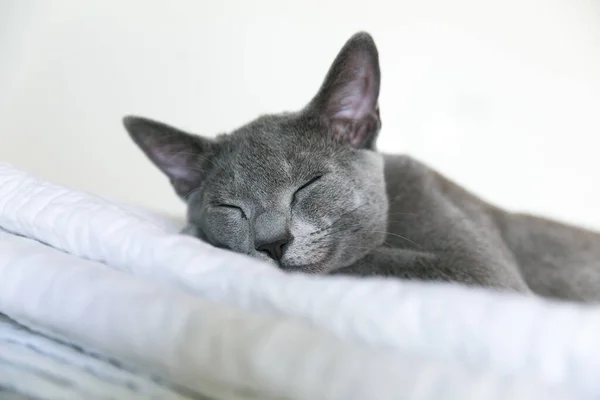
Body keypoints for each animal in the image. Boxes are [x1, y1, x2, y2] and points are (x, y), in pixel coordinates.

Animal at [122, 31, 600, 302]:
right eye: (230, 208)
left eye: (309, 184)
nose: (272, 243)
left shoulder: (484, 274)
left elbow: (364, 259)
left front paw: (197, 235)